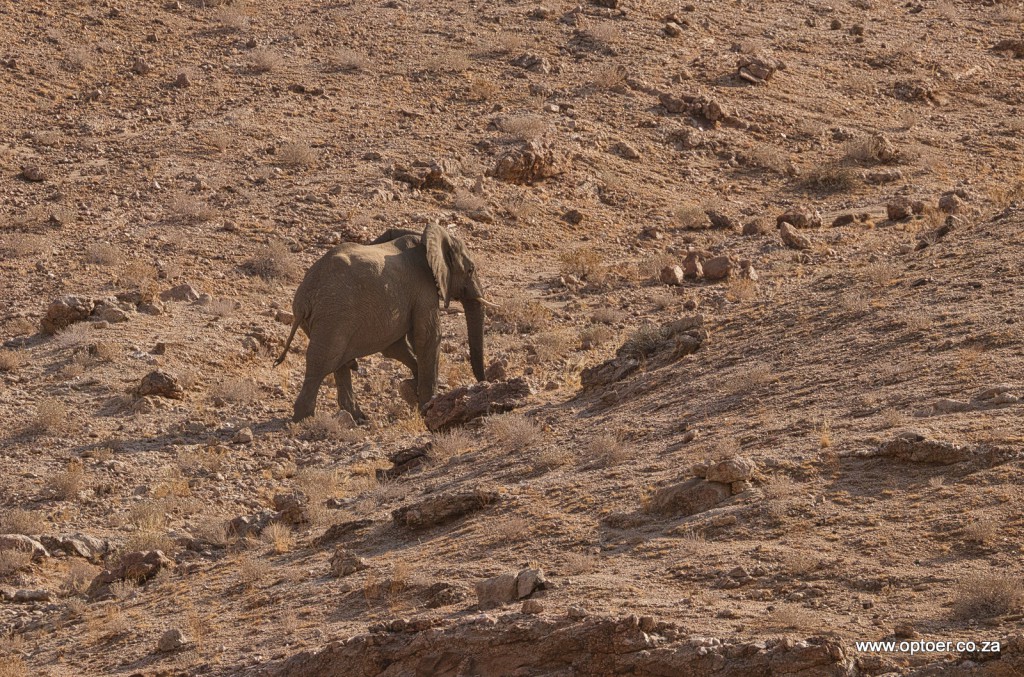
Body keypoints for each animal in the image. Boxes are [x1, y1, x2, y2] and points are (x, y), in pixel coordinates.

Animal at [275, 223, 494, 422]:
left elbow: (395, 346)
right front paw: (426, 405)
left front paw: (412, 390)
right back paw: (304, 419)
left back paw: (358, 418)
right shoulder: (423, 288)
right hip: (334, 315)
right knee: (322, 363)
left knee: (339, 363)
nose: (485, 384)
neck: (424, 237)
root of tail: (304, 297)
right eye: (470, 270)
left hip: (326, 319)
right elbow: (427, 337)